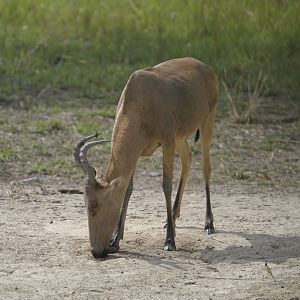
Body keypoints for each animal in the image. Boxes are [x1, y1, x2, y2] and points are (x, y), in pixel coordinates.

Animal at [72, 56, 218, 258]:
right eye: (85, 202)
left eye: (94, 205)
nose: (96, 251)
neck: (141, 96)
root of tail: (204, 66)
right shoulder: (136, 152)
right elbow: (128, 189)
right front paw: (115, 240)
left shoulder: (167, 141)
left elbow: (166, 185)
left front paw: (170, 241)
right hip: (180, 136)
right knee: (188, 159)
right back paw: (172, 218)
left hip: (207, 121)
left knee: (206, 168)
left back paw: (209, 223)